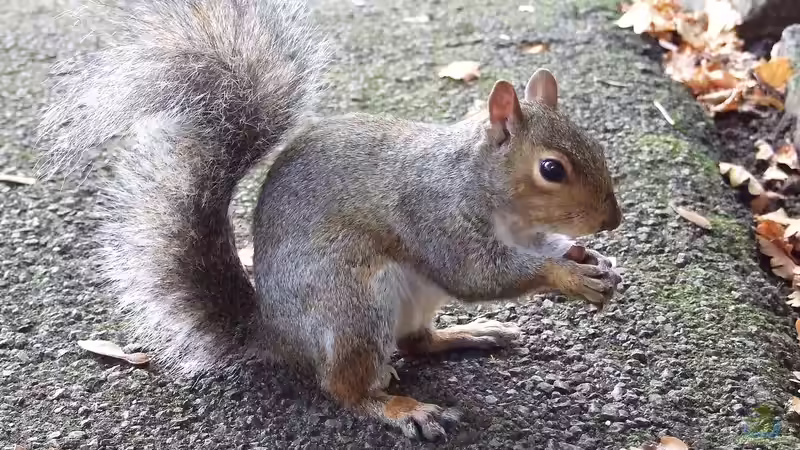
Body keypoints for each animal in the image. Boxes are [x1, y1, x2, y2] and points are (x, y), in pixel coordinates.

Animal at [38, 0, 622, 440]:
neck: (481, 184)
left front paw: (587, 257)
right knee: (344, 387)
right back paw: (404, 408)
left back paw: (472, 333)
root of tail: (275, 334)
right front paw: (568, 274)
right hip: (352, 305)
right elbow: (479, 275)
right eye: (551, 169)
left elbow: (539, 250)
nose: (613, 221)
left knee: (416, 343)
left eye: (596, 144)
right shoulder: (436, 218)